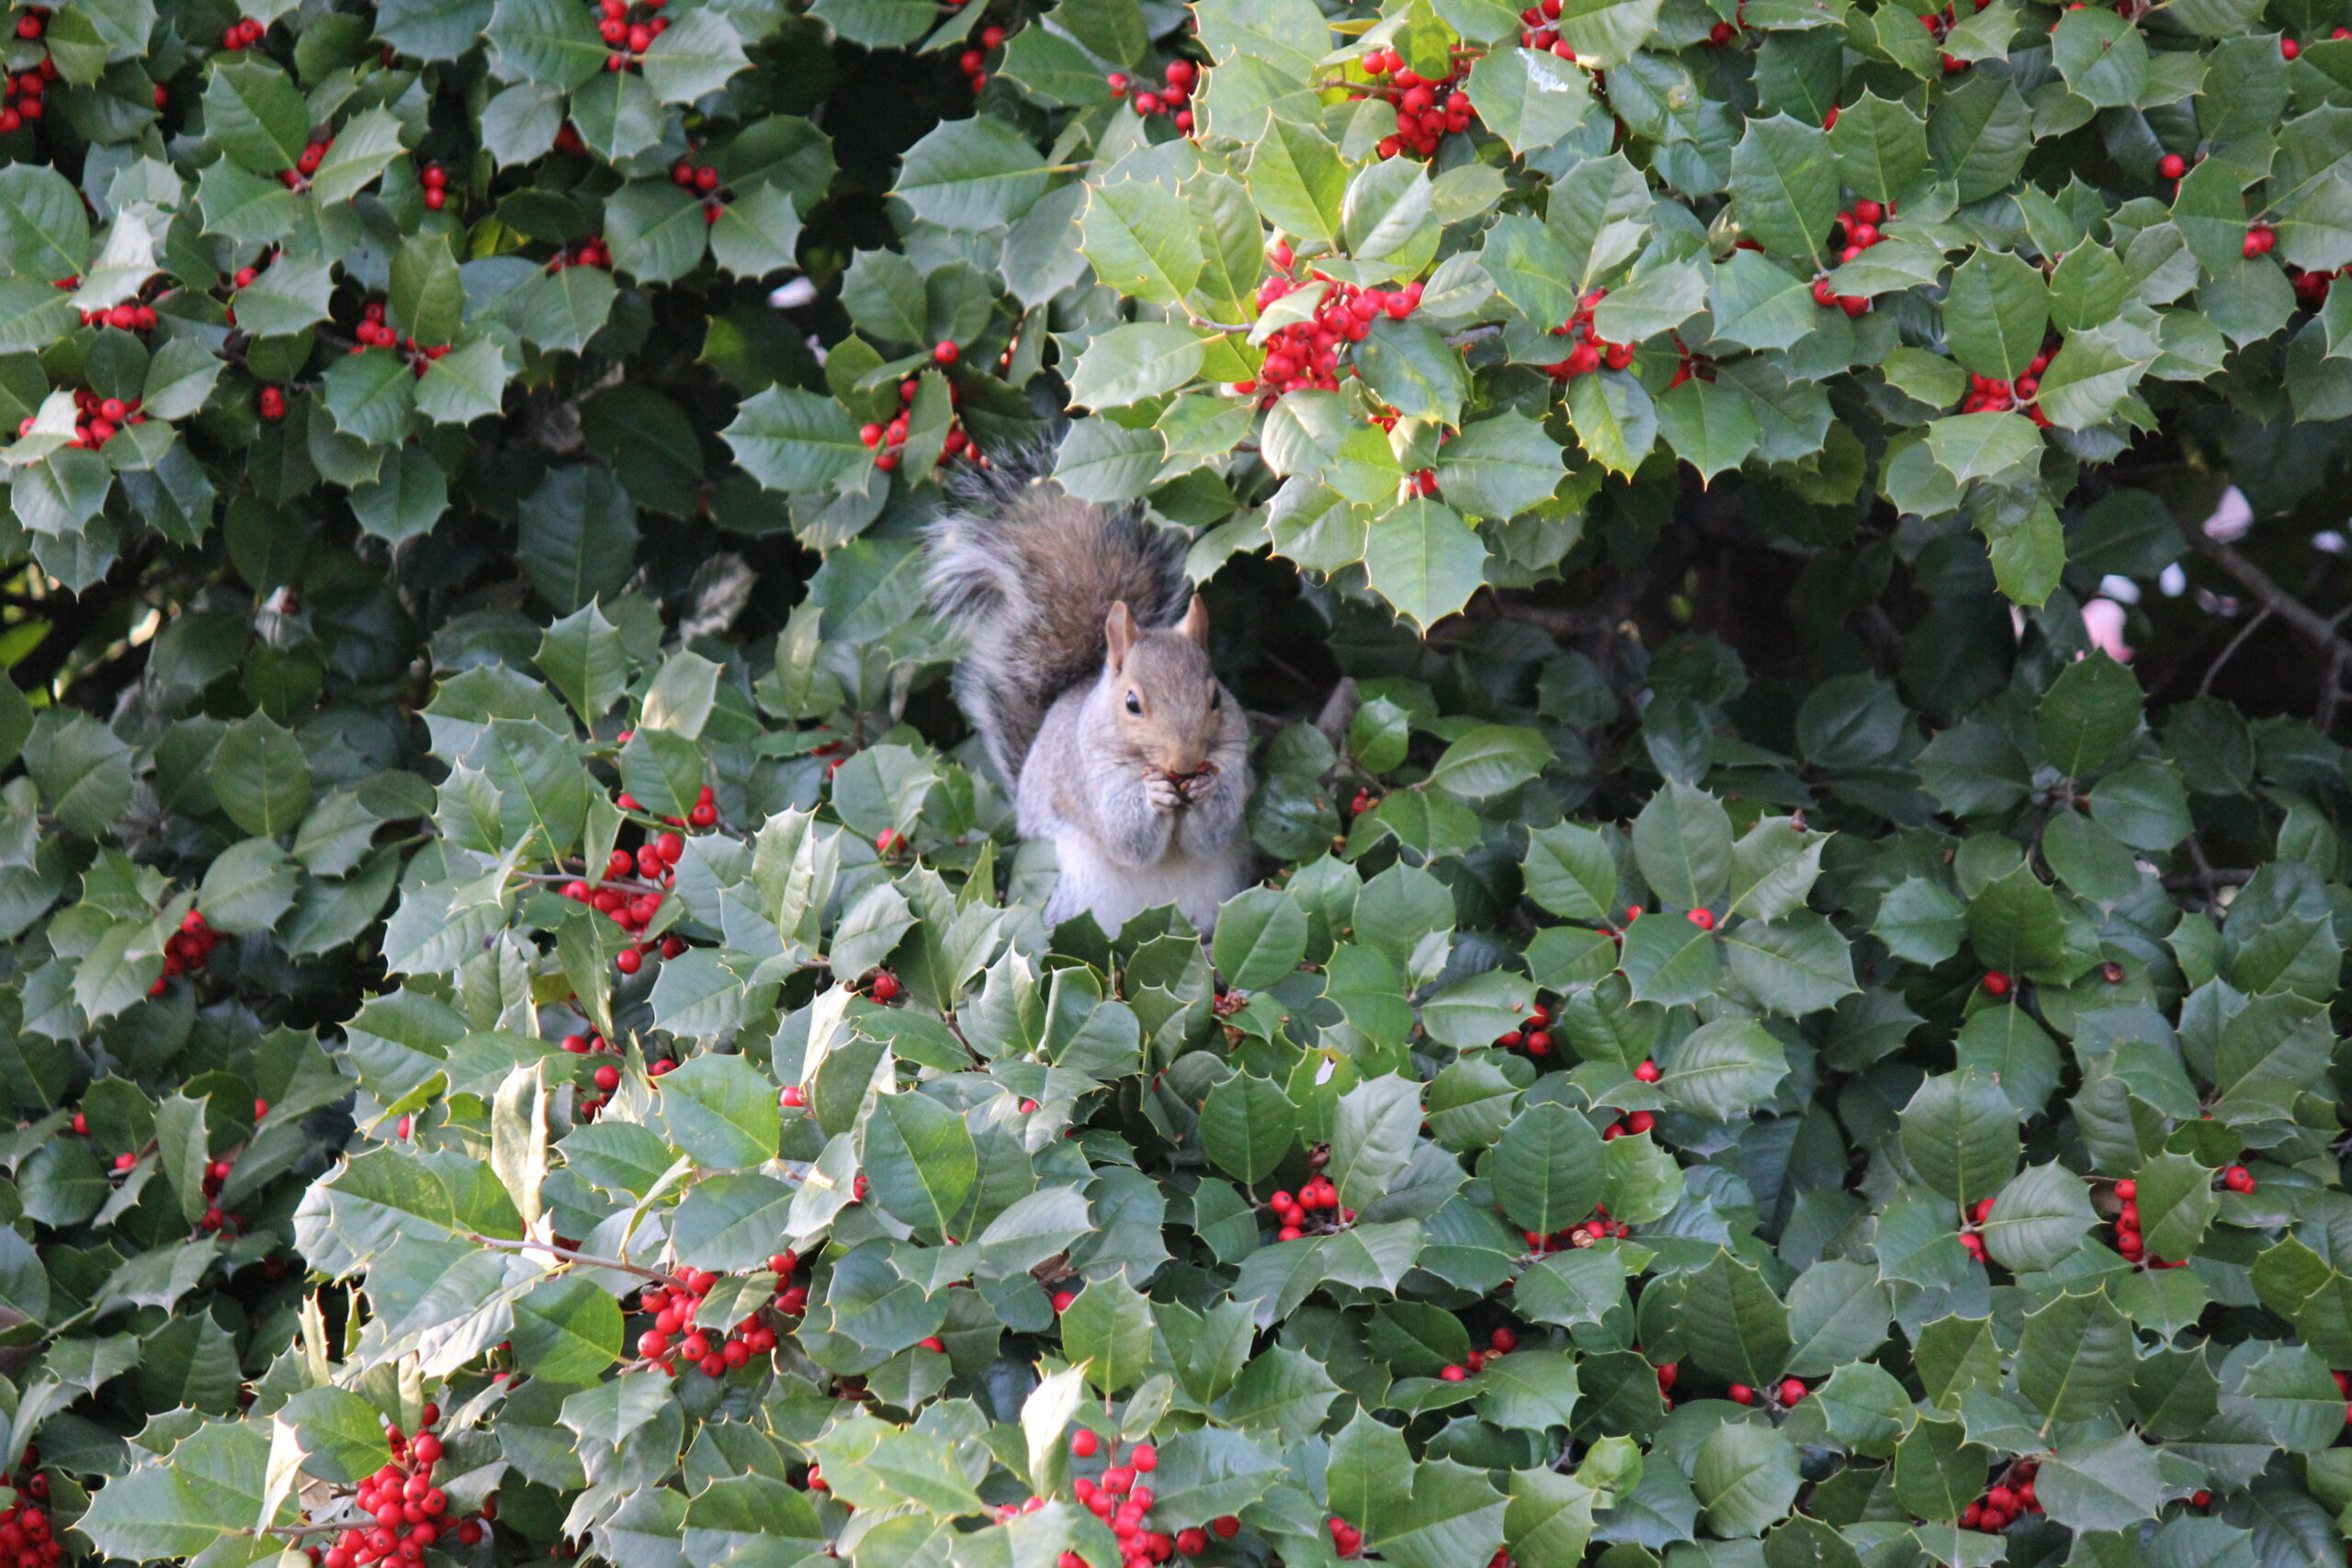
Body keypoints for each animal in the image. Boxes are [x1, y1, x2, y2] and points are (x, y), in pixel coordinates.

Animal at [925, 458, 1252, 937]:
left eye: (1215, 698)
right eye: (1132, 704)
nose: (1185, 763)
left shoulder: (1234, 761)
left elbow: (1213, 832)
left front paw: (1206, 789)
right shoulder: (1089, 776)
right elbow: (1125, 837)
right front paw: (1152, 794)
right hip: (1073, 887)